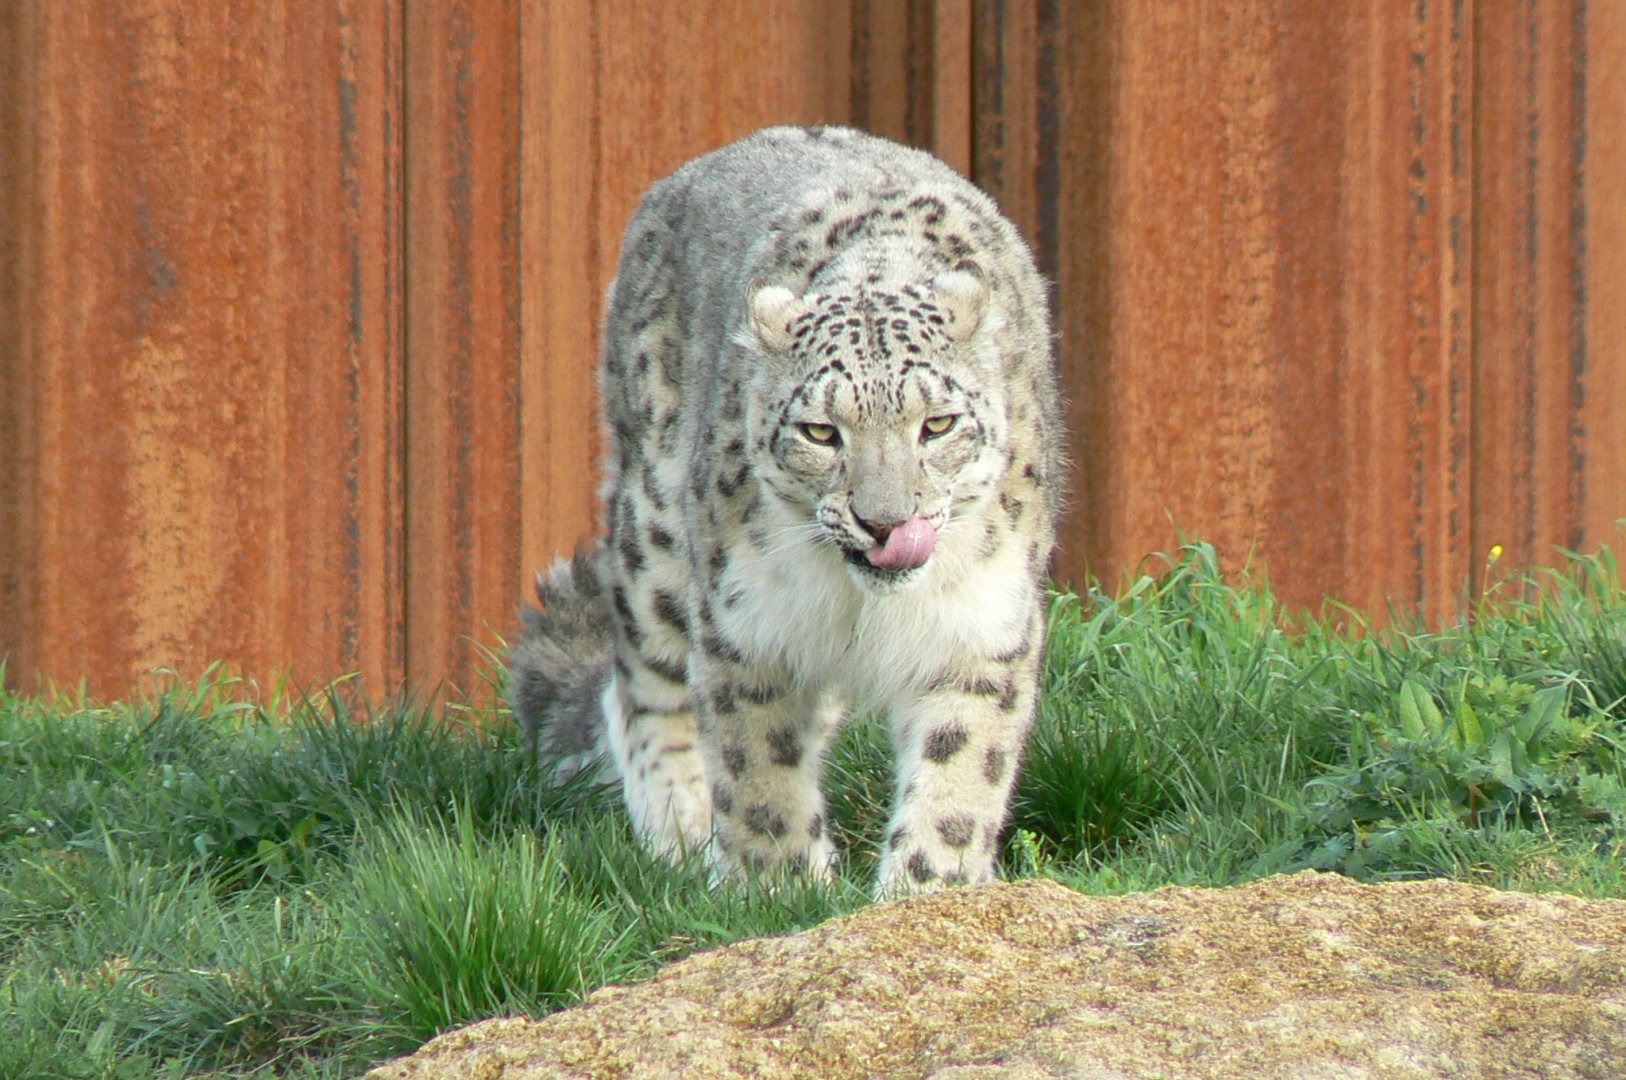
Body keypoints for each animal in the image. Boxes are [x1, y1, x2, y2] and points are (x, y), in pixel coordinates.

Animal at [508, 125, 1062, 898]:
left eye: (938, 425)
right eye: (822, 433)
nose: (885, 522)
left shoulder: (979, 625)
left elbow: (958, 775)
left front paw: (925, 892)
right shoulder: (750, 624)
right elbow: (760, 767)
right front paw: (778, 890)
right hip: (655, 532)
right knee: (645, 687)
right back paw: (680, 834)